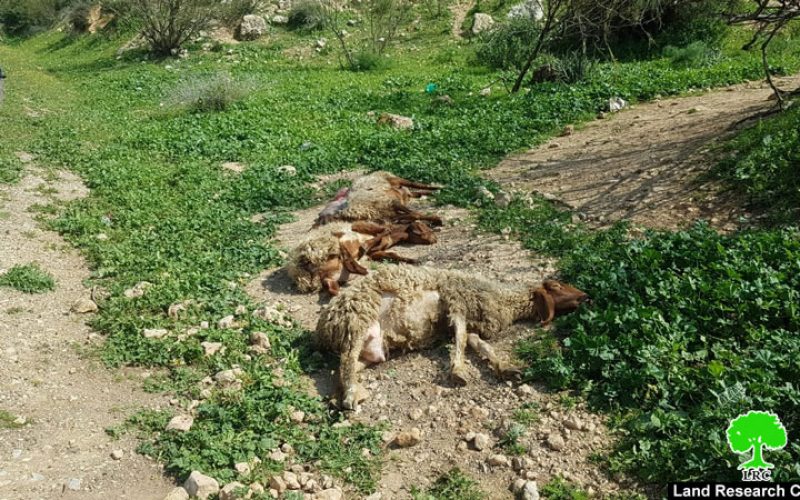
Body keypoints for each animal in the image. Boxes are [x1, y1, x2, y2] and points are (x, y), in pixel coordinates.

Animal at [316, 264, 592, 408]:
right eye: (556, 286)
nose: (586, 296)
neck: (502, 298)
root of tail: (323, 325)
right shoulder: (456, 302)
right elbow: (461, 338)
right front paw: (458, 371)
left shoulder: (469, 321)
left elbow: (478, 343)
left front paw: (505, 367)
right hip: (357, 320)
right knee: (347, 361)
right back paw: (351, 397)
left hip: (370, 349)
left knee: (344, 367)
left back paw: (340, 396)